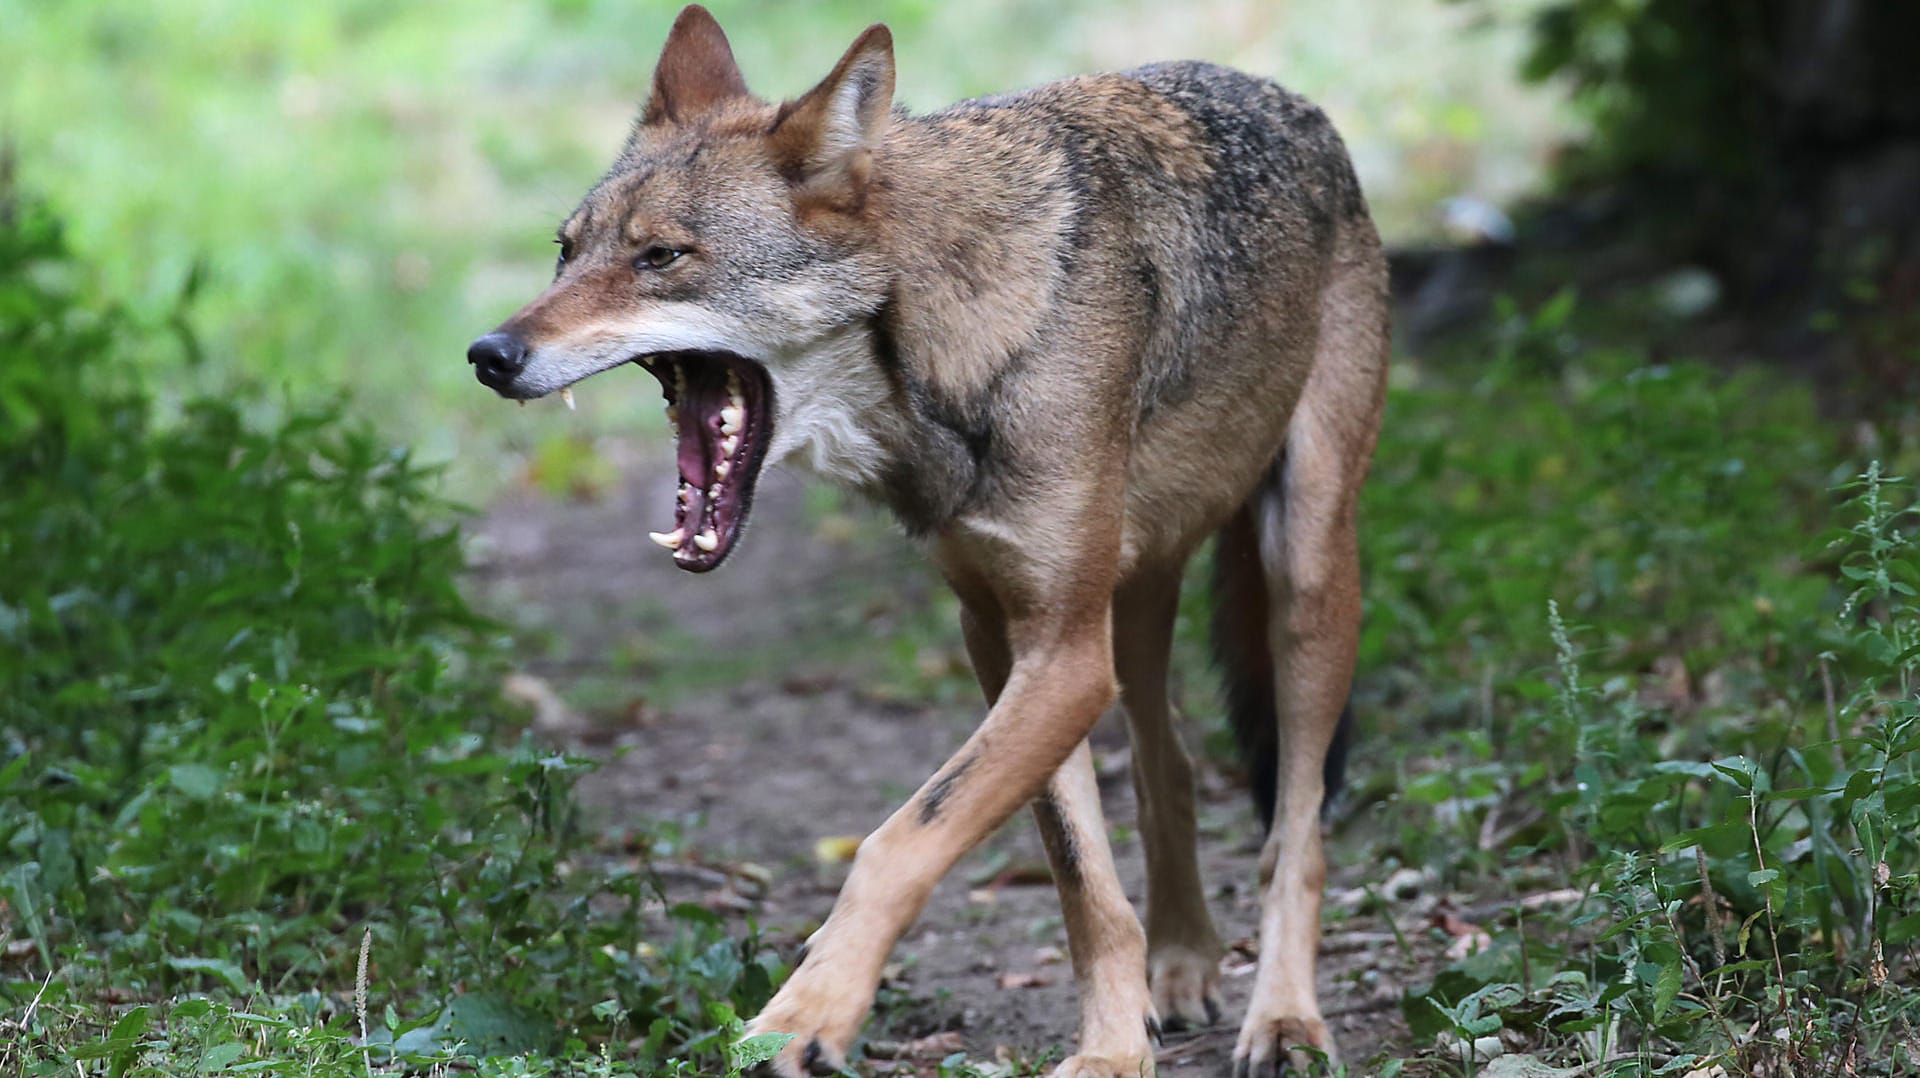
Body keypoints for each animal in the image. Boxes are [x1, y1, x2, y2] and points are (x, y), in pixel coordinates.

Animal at [472, 6, 1390, 1068]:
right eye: (565, 251)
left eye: (661, 257)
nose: (489, 354)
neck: (939, 349)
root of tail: (1293, 103)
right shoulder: (1004, 635)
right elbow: (1080, 878)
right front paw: (1115, 1049)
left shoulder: (1063, 657)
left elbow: (900, 840)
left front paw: (807, 1015)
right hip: (1135, 608)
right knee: (1173, 771)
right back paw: (1186, 965)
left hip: (1306, 580)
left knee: (1296, 832)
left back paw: (1284, 1019)